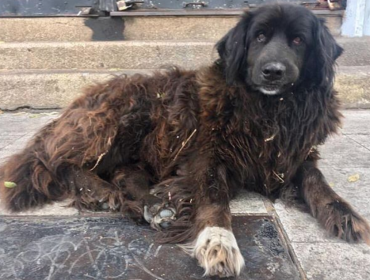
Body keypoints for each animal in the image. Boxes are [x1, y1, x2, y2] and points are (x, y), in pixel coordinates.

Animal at [0, 2, 370, 278]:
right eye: (260, 37)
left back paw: (152, 203)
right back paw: (101, 192)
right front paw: (218, 241)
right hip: (127, 114)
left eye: (298, 41)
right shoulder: (207, 156)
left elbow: (316, 180)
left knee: (123, 172)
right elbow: (214, 198)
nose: (273, 71)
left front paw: (343, 211)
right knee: (58, 164)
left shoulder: (294, 156)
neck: (268, 110)